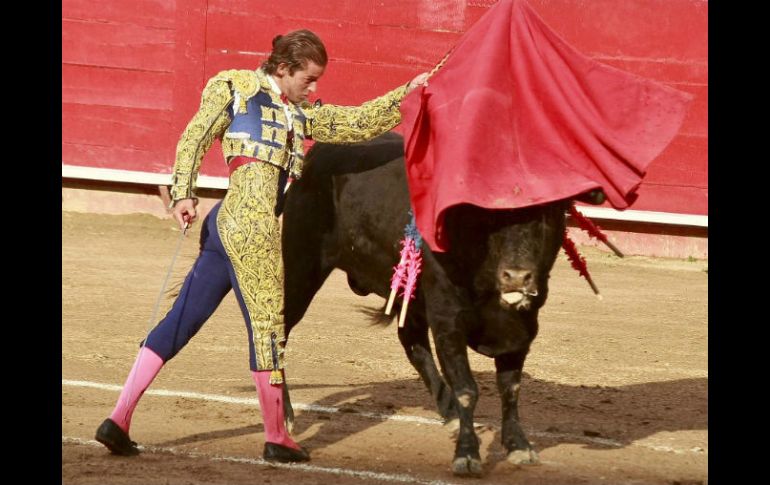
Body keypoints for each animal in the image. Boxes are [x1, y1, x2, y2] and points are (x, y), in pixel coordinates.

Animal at [280, 130, 568, 474]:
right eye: (490, 218)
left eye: (546, 216)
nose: (516, 276)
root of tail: (319, 152)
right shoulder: (447, 320)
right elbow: (467, 388)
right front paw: (467, 455)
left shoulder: (523, 326)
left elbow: (510, 388)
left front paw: (519, 446)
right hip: (301, 270)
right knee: (275, 329)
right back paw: (285, 417)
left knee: (412, 343)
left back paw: (451, 414)